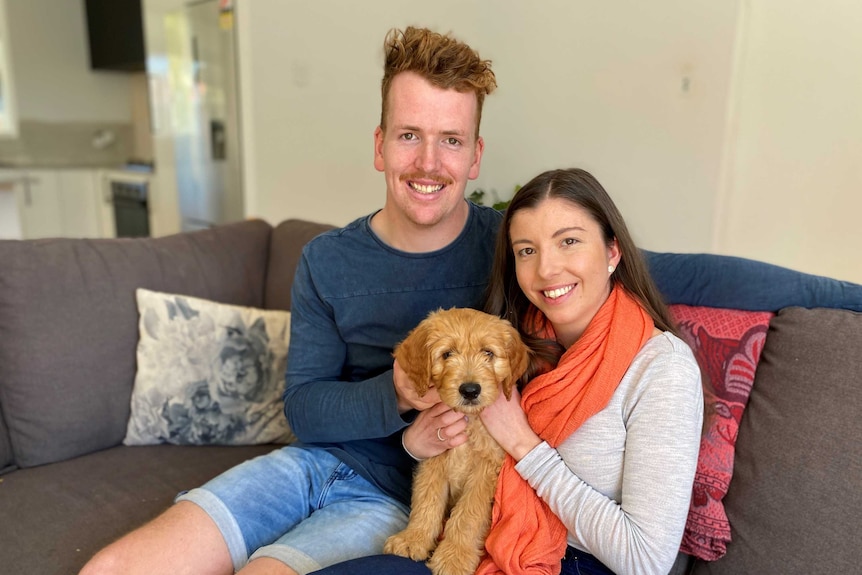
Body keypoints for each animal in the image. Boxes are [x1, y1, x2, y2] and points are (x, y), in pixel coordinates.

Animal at [386, 308, 532, 575]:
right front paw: (414, 538)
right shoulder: (434, 456)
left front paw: (454, 557)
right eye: (447, 354)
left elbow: (468, 514)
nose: (470, 390)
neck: (469, 420)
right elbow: (426, 499)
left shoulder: (486, 469)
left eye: (488, 353)